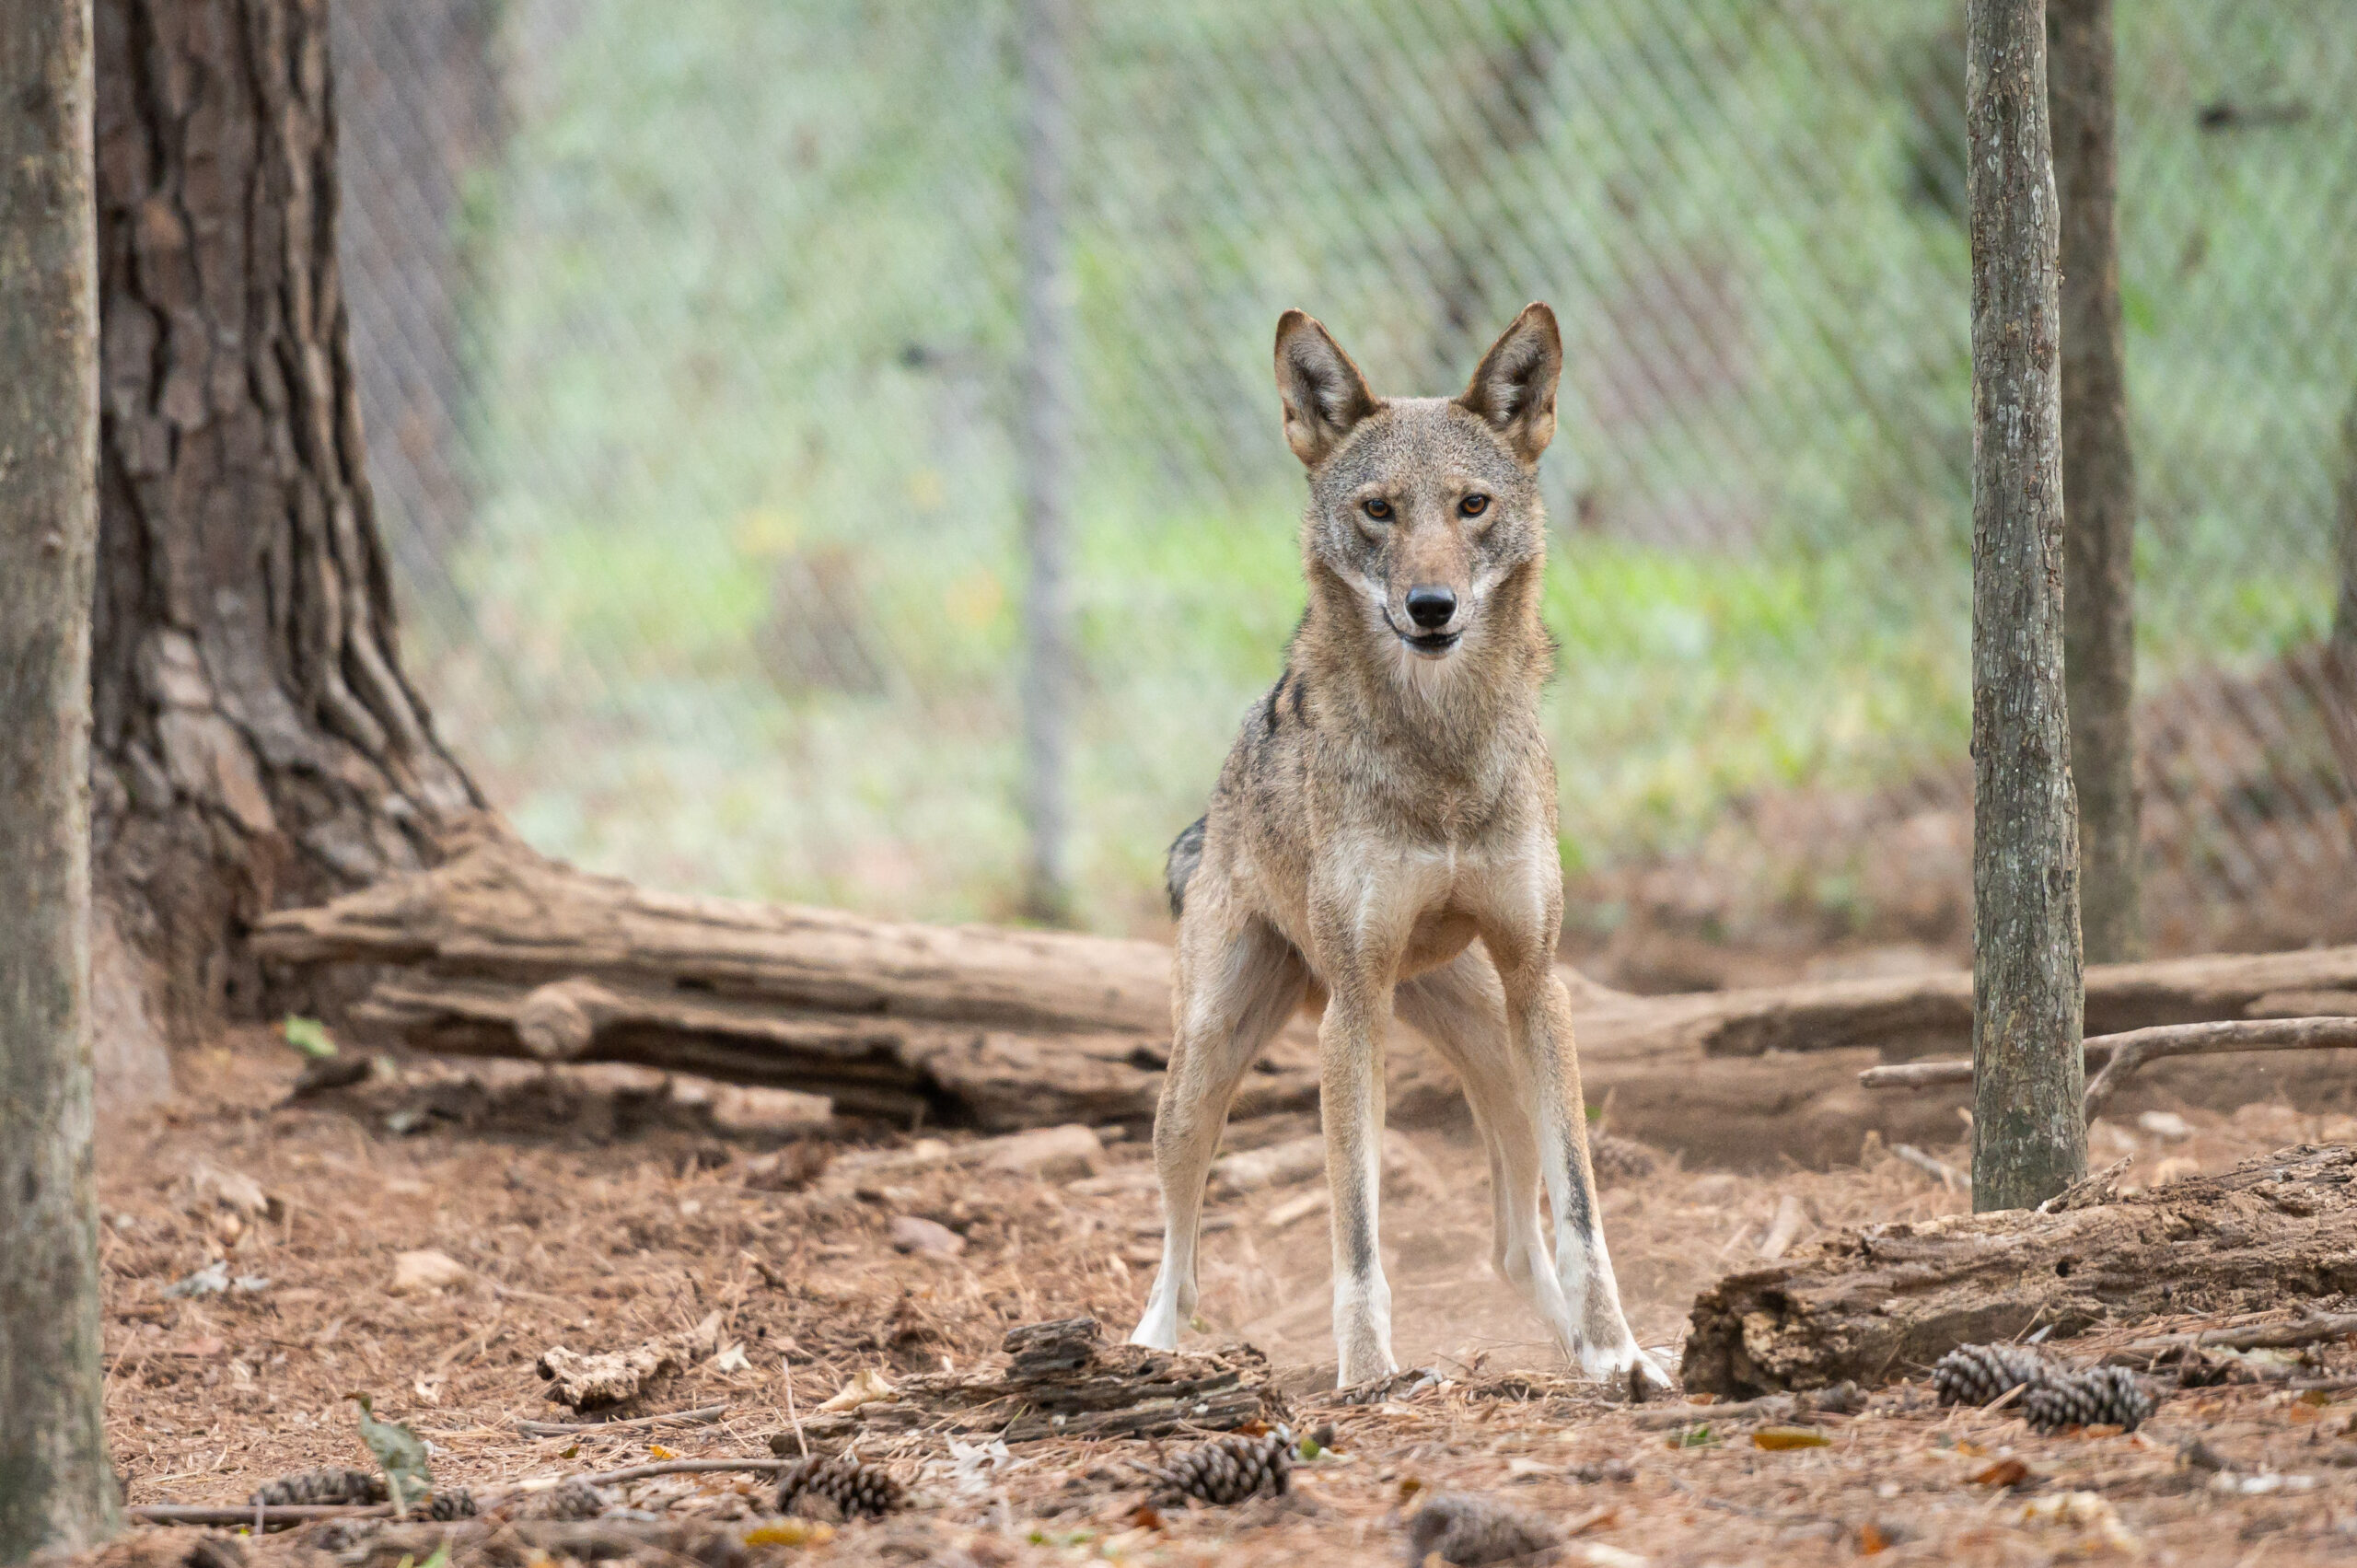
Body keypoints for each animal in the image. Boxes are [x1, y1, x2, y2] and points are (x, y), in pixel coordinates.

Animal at [1128, 304, 1666, 1391]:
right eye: (1378, 509)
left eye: (1471, 506)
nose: (1430, 606)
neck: (1442, 758)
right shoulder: (1352, 1013)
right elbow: (1357, 1231)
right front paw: (1369, 1373)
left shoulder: (1539, 982)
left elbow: (1582, 1214)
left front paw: (1619, 1351)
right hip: (1213, 1064)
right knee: (1183, 1254)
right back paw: (1145, 1350)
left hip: (1495, 1046)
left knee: (1514, 1242)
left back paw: (1576, 1347)